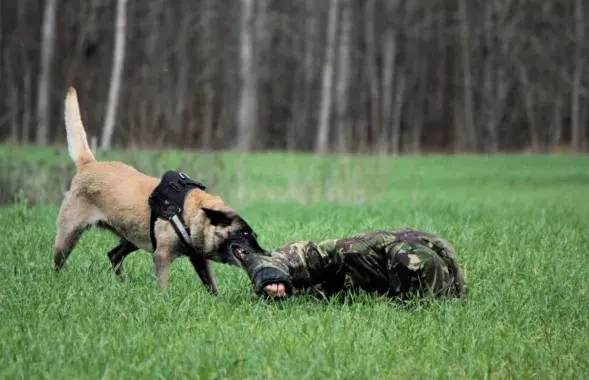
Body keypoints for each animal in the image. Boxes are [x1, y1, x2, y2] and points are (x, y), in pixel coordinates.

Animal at [52, 87, 264, 296]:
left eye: (254, 235)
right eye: (244, 234)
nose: (264, 253)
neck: (191, 212)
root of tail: (89, 164)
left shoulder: (199, 259)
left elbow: (212, 285)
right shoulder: (162, 255)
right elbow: (162, 286)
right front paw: (164, 300)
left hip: (132, 237)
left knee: (113, 255)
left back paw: (124, 283)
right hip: (69, 235)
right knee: (59, 262)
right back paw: (58, 281)